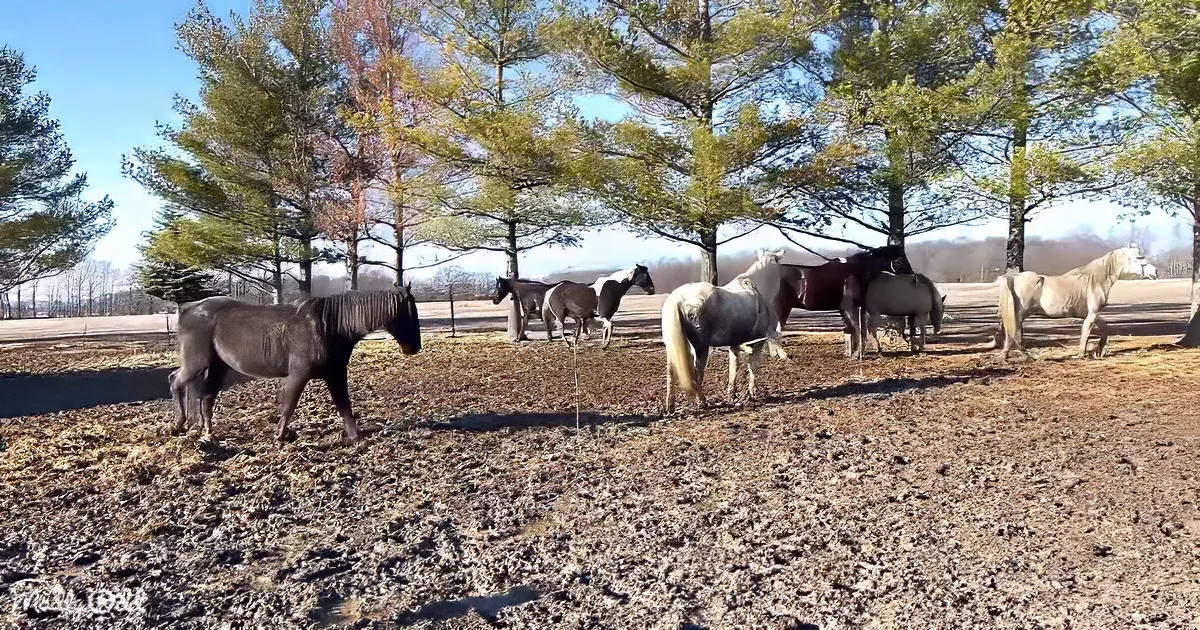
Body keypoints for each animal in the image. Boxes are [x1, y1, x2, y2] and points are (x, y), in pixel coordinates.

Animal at [170, 289, 421, 445]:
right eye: (408, 315)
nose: (414, 348)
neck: (326, 326)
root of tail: (188, 308)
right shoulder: (299, 375)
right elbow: (289, 406)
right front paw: (279, 436)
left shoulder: (336, 374)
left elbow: (344, 406)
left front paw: (354, 437)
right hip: (197, 363)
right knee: (176, 381)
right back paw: (179, 425)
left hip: (217, 366)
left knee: (206, 397)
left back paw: (207, 432)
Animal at [661, 249, 788, 413]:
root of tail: (678, 298)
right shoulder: (759, 342)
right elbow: (753, 366)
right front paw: (753, 392)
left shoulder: (735, 344)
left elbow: (734, 367)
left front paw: (732, 394)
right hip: (701, 347)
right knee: (696, 373)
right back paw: (702, 402)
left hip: (673, 346)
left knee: (671, 371)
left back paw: (670, 406)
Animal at [775, 245, 905, 356]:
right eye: (901, 259)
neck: (857, 271)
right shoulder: (849, 308)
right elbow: (859, 330)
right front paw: (857, 354)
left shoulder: (860, 308)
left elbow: (865, 330)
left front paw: (873, 351)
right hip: (781, 308)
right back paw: (782, 355)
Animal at [995, 245, 1154, 359]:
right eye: (1140, 257)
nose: (1155, 272)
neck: (1095, 281)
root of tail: (1013, 277)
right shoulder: (1091, 315)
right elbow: (1085, 335)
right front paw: (1082, 354)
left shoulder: (1090, 314)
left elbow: (1104, 328)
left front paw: (1098, 350)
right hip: (1018, 314)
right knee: (1012, 334)